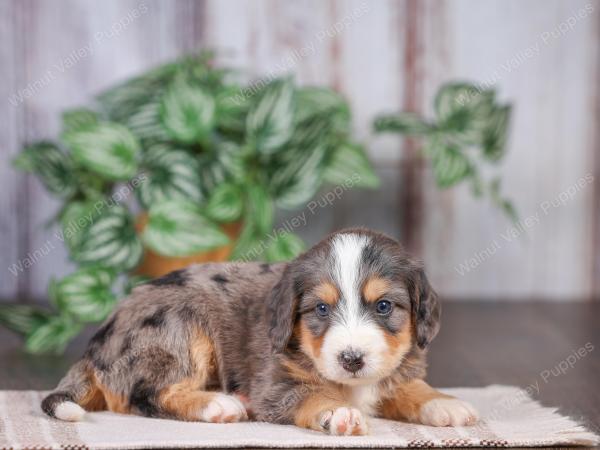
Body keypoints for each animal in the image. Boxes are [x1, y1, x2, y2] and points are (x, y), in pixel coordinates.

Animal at [42, 230, 478, 434]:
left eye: (384, 306)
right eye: (321, 309)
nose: (352, 359)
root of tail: (95, 345)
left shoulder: (395, 368)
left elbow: (407, 386)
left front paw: (444, 403)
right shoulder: (275, 384)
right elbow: (311, 395)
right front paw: (337, 412)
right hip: (180, 325)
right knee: (145, 394)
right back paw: (218, 405)